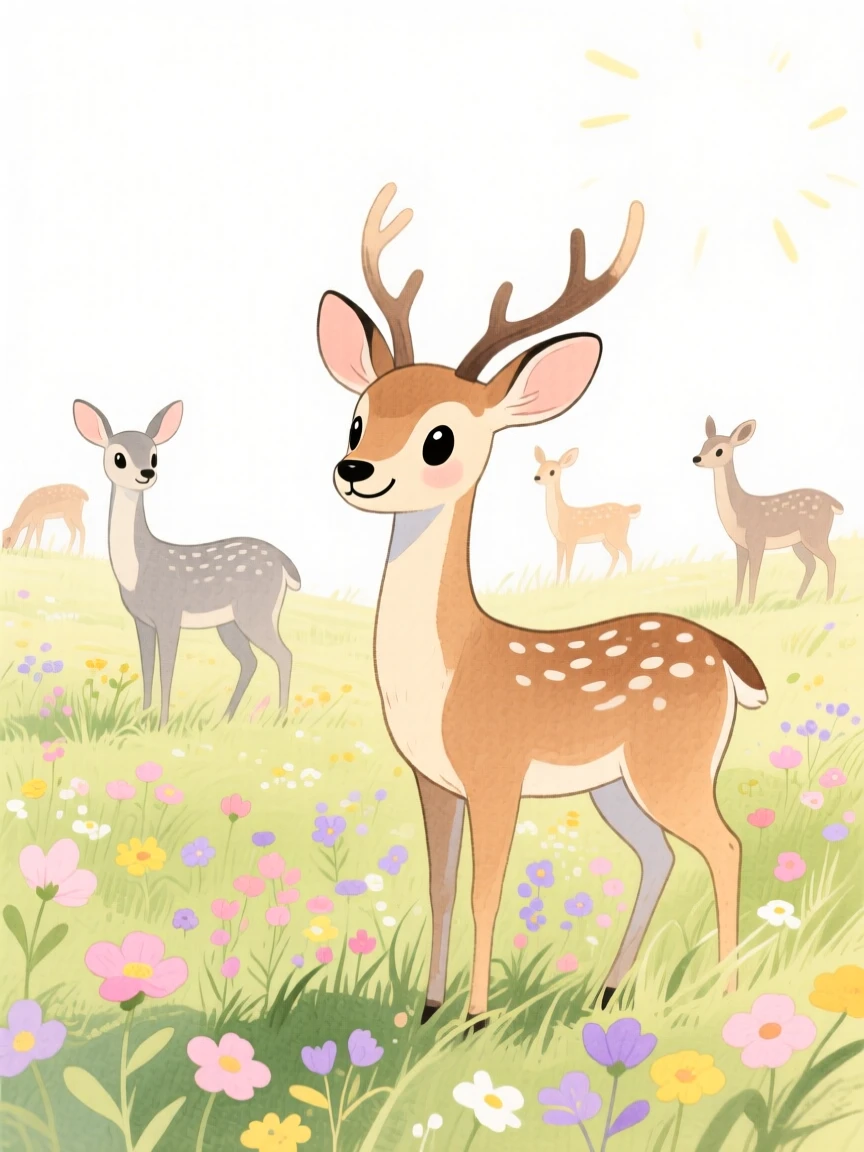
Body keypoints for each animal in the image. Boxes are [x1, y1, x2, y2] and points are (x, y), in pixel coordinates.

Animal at [72, 400, 301, 728]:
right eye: (119, 457)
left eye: (154, 455)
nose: (146, 473)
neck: (137, 569)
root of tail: (285, 564)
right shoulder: (142, 619)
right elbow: (147, 666)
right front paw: (142, 717)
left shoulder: (169, 613)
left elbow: (167, 668)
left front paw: (162, 724)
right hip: (230, 622)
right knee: (251, 660)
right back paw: (225, 719)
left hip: (255, 610)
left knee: (284, 655)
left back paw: (279, 720)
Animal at [534, 446, 640, 581]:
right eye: (539, 467)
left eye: (552, 471)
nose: (536, 477)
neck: (561, 515)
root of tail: (627, 509)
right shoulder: (559, 541)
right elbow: (559, 563)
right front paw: (556, 584)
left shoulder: (572, 538)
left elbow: (568, 563)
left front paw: (566, 583)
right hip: (606, 539)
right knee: (616, 554)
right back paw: (605, 578)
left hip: (617, 534)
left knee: (628, 551)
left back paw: (628, 576)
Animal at [694, 418, 843, 605]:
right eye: (704, 444)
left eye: (719, 451)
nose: (696, 458)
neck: (738, 510)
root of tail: (834, 503)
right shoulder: (740, 545)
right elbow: (740, 575)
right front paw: (736, 606)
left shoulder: (756, 539)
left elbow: (754, 574)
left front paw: (750, 605)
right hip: (799, 542)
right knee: (811, 564)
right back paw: (798, 598)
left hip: (815, 534)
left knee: (831, 559)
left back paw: (828, 599)